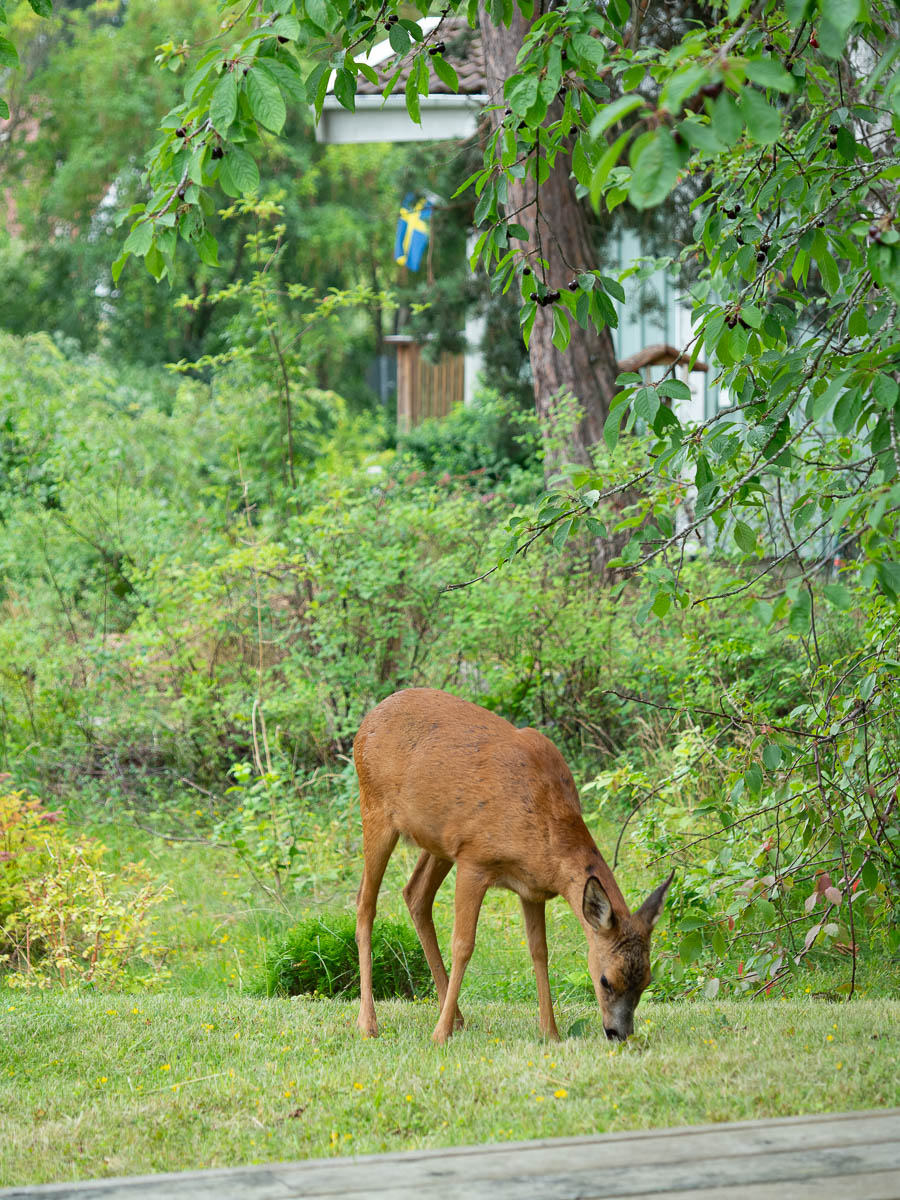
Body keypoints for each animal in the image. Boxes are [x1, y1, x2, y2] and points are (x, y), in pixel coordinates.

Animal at [354, 687, 673, 1044]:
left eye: (646, 980)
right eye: (606, 980)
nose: (619, 1033)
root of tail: (366, 722)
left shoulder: (532, 888)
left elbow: (540, 951)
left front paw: (550, 1032)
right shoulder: (474, 860)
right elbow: (463, 945)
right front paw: (439, 1035)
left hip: (439, 842)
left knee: (415, 894)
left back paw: (457, 1017)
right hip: (376, 810)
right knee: (365, 903)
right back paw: (369, 1023)